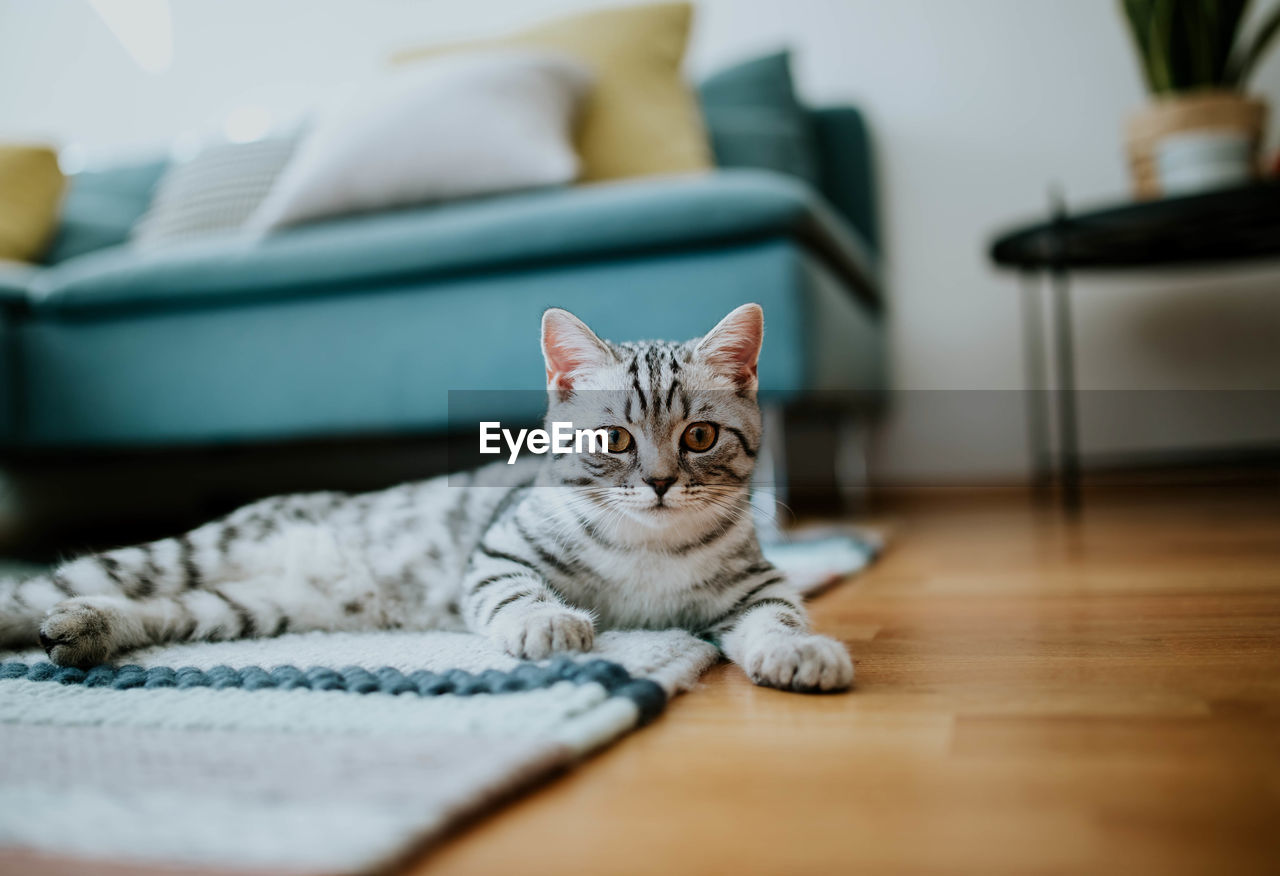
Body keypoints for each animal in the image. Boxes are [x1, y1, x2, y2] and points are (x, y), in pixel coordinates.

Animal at [2, 306, 860, 691]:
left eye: (701, 437)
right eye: (614, 440)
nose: (656, 483)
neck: (647, 550)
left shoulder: (756, 583)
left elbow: (779, 615)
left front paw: (797, 651)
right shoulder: (501, 549)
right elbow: (516, 591)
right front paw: (548, 623)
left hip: (250, 606)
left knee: (159, 610)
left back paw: (80, 631)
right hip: (186, 552)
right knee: (45, 586)